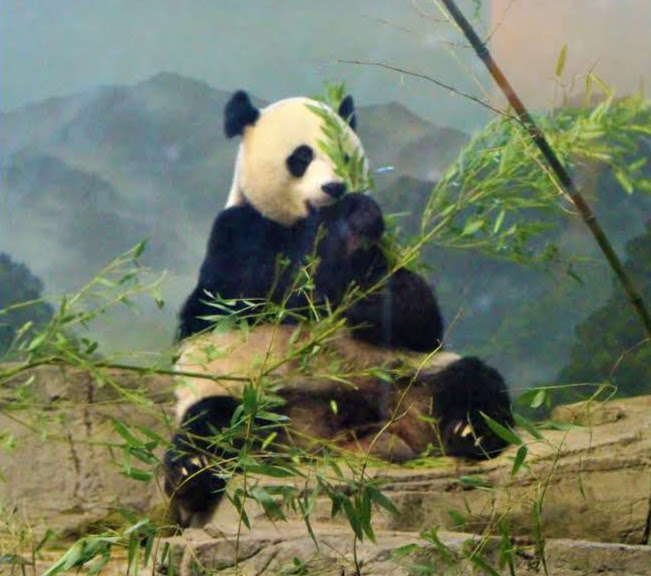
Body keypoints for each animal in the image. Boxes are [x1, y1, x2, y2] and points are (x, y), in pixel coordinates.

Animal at [164, 90, 514, 527]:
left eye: (344, 154)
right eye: (301, 156)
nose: (334, 187)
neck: (308, 219)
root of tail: (339, 438)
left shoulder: (384, 262)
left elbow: (416, 316)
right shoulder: (237, 232)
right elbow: (277, 282)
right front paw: (349, 224)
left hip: (409, 375)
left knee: (471, 379)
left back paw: (471, 431)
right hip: (242, 390)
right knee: (211, 424)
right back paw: (190, 476)